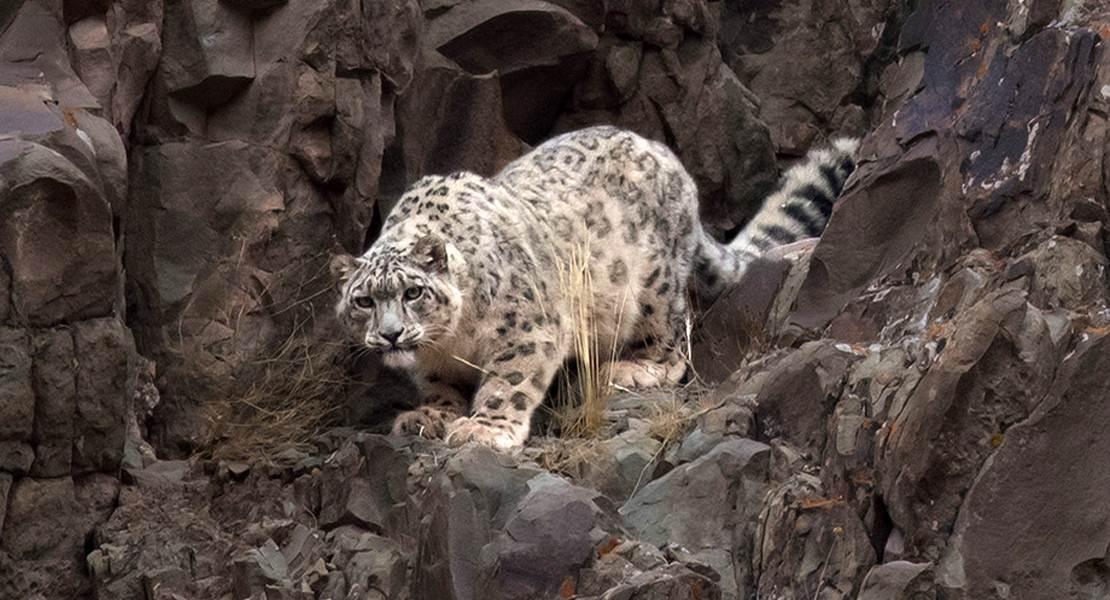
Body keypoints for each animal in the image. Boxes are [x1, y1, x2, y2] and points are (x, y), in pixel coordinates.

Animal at [332, 126, 858, 449]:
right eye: (363, 301)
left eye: (412, 292)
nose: (391, 334)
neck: (451, 341)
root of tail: (666, 156)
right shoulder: (434, 364)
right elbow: (441, 387)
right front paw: (430, 415)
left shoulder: (529, 327)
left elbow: (509, 381)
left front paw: (485, 430)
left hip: (651, 288)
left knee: (674, 335)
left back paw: (632, 368)